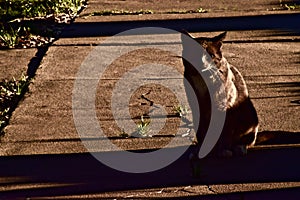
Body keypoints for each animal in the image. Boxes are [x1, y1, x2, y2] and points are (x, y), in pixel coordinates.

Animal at [182, 30, 258, 158]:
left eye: (211, 56)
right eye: (194, 53)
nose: (202, 63)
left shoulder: (227, 107)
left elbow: (225, 132)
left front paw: (223, 150)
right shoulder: (196, 106)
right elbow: (201, 131)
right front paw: (200, 149)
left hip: (249, 113)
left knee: (247, 139)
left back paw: (239, 147)